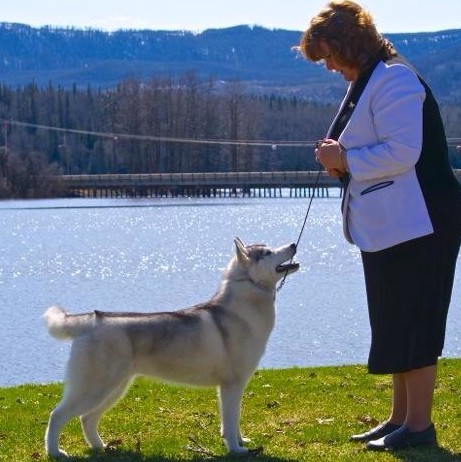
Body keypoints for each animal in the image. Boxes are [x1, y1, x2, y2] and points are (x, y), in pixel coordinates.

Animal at [43, 240, 298, 456]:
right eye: (268, 252)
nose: (294, 244)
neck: (244, 307)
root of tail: (91, 320)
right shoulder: (231, 384)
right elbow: (229, 422)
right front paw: (236, 450)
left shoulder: (235, 387)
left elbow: (235, 421)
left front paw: (242, 441)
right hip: (95, 387)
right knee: (57, 415)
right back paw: (55, 452)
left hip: (114, 388)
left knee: (86, 418)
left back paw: (101, 447)